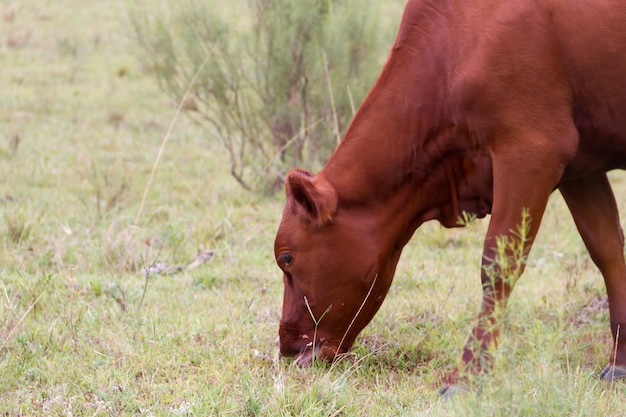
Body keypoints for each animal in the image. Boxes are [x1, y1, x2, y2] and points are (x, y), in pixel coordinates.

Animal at [272, 0, 624, 394]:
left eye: (286, 258)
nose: (287, 348)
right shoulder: (581, 167)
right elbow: (607, 250)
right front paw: (621, 360)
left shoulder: (532, 150)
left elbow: (497, 264)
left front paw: (467, 376)